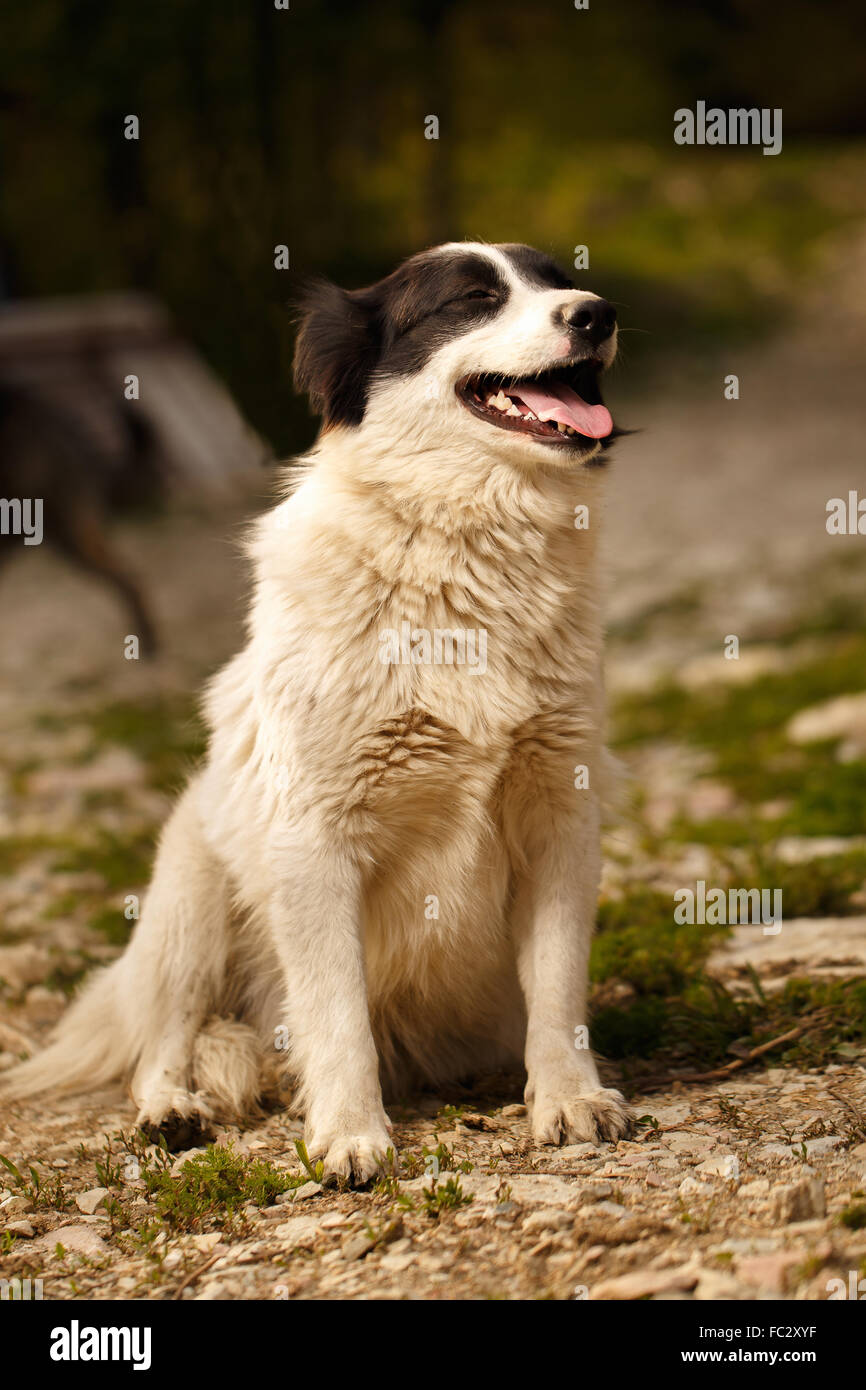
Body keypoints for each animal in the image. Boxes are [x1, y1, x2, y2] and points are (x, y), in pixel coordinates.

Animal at [3, 244, 633, 1178]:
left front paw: (568, 1099)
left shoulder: (559, 815)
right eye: (472, 300)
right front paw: (349, 1136)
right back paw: (172, 1110)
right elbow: (337, 1017)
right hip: (189, 893)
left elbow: (556, 988)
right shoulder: (315, 839)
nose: (596, 313)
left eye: (559, 281)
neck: (465, 544)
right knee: (166, 1036)